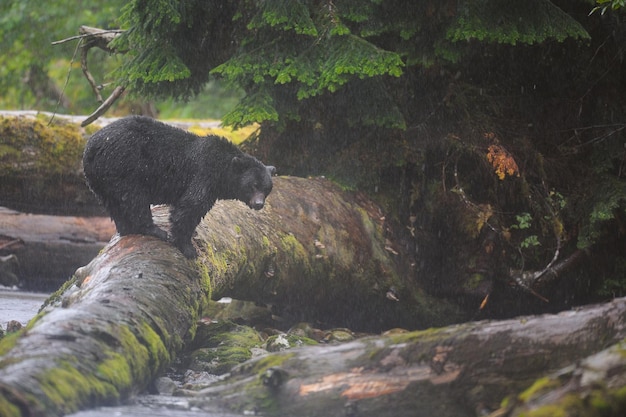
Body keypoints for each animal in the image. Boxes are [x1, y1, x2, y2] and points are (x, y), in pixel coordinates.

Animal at [84, 114, 274, 256]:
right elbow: (191, 206)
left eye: (266, 188)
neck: (222, 170)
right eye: (253, 185)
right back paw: (155, 230)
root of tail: (91, 147)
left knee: (115, 204)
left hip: (101, 179)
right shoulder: (203, 174)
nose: (259, 204)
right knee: (133, 200)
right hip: (124, 168)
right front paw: (188, 248)